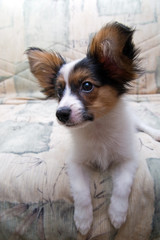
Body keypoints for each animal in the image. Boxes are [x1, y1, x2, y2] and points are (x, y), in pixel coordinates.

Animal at [26, 21, 160, 235]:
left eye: (87, 86)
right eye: (59, 92)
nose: (60, 114)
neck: (97, 128)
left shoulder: (128, 159)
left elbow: (122, 186)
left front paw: (117, 214)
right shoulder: (76, 163)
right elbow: (81, 192)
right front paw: (83, 220)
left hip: (134, 123)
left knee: (142, 125)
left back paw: (156, 133)